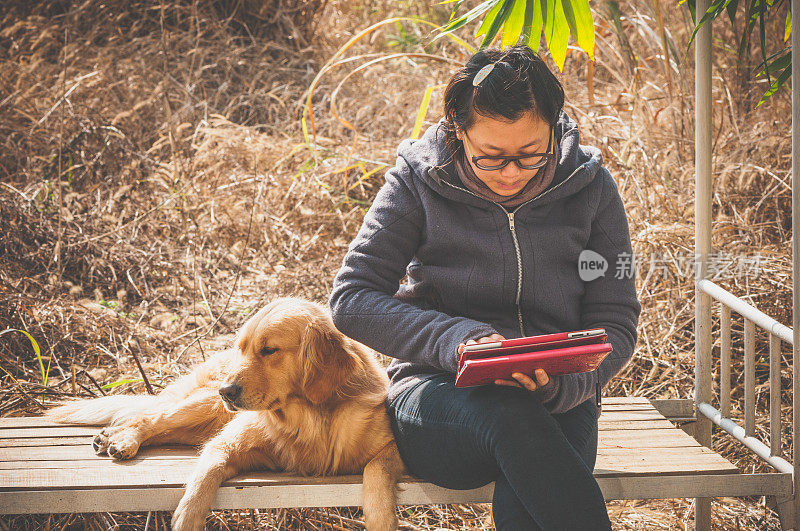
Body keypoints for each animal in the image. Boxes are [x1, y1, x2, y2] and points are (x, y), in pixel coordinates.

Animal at [46, 298, 406, 528]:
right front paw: (187, 518)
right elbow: (206, 474)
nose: (227, 391)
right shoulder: (228, 444)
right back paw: (123, 439)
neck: (309, 420)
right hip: (202, 404)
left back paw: (112, 435)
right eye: (242, 348)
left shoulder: (393, 448)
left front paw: (380, 520)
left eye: (269, 350)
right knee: (151, 418)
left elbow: (376, 473)